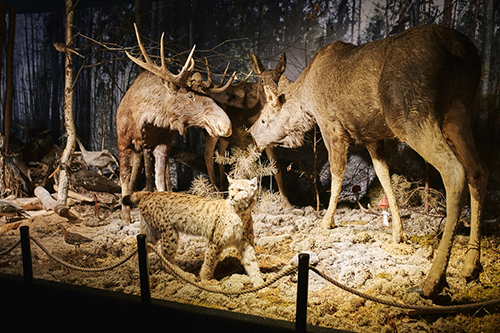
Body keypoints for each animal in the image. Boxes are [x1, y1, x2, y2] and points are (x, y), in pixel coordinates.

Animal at [118, 25, 233, 223]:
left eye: (208, 95)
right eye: (190, 95)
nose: (226, 124)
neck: (146, 119)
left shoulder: (164, 143)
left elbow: (160, 180)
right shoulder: (123, 142)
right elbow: (124, 177)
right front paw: (125, 217)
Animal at [204, 52, 292, 206]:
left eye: (278, 79)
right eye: (262, 81)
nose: (273, 95)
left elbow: (276, 169)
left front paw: (287, 204)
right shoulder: (244, 141)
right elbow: (245, 168)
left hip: (225, 136)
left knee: (220, 154)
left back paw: (223, 188)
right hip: (212, 132)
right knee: (208, 155)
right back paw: (214, 191)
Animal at [250, 24, 488, 296]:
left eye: (264, 119)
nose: (251, 134)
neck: (305, 104)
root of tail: (460, 49)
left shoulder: (332, 127)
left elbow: (337, 173)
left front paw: (326, 221)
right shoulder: (373, 138)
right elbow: (384, 176)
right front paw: (398, 232)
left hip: (412, 115)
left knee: (454, 171)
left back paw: (433, 280)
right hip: (457, 112)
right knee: (478, 170)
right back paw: (471, 264)